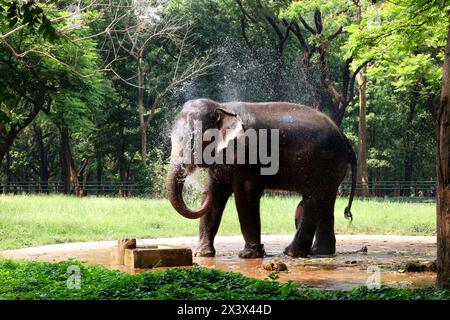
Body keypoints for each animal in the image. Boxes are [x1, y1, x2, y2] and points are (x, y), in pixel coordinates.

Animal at [165, 99, 356, 258]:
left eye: (192, 141)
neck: (220, 106)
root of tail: (344, 138)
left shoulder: (247, 152)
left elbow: (246, 194)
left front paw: (249, 255)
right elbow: (216, 193)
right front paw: (202, 254)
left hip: (324, 163)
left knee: (313, 199)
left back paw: (292, 253)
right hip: (331, 168)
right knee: (326, 201)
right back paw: (320, 252)